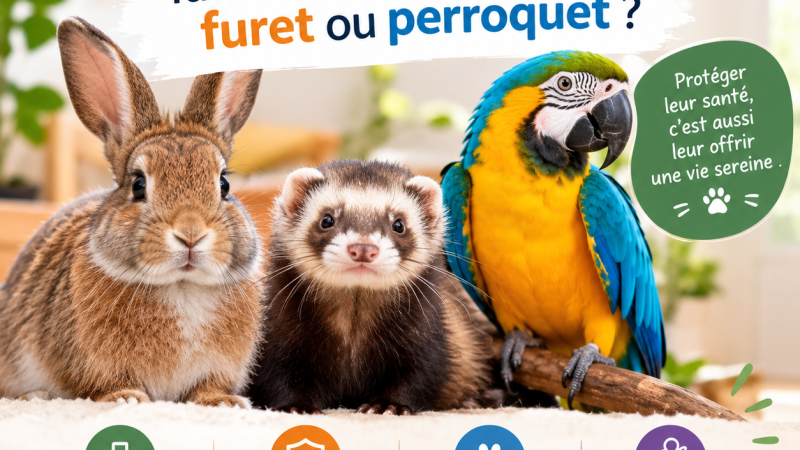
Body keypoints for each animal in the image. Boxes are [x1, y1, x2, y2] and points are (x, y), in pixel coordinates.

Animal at [0, 17, 265, 408]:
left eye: (224, 184)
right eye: (138, 184)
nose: (190, 234)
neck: (181, 286)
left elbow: (208, 387)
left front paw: (222, 402)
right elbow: (104, 385)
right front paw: (126, 398)